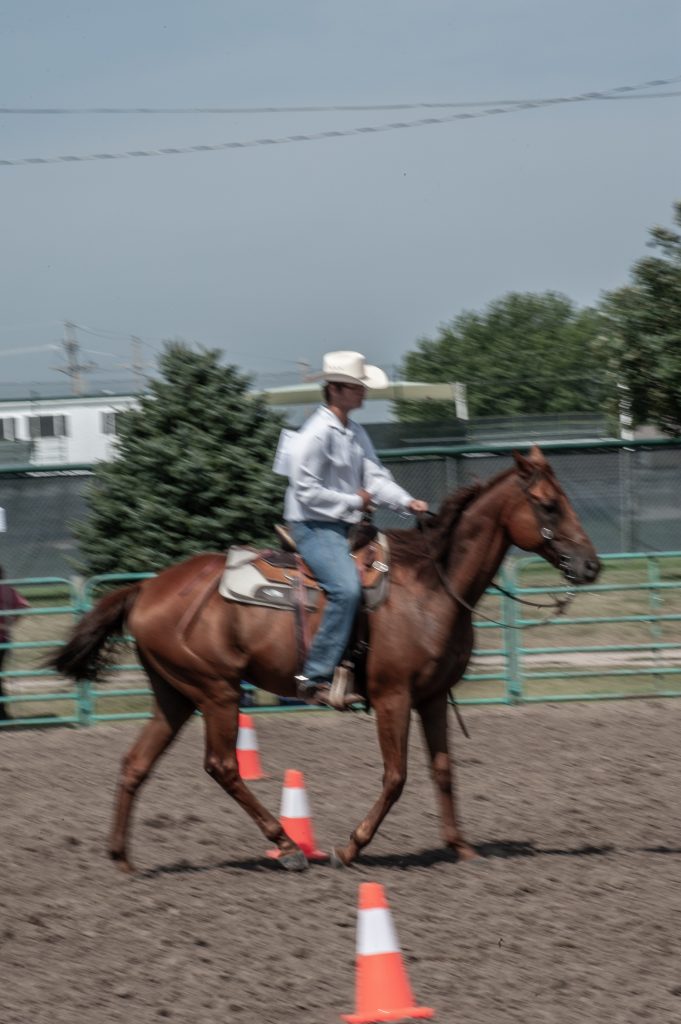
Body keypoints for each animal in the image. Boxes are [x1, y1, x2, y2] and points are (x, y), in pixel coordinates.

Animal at [51, 445, 600, 872]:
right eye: (548, 506)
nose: (591, 565)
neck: (430, 588)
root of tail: (145, 590)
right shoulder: (393, 697)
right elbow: (396, 776)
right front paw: (350, 848)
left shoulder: (432, 697)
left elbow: (443, 769)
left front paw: (461, 848)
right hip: (217, 692)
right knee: (223, 766)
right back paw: (289, 846)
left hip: (175, 695)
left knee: (135, 764)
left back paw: (123, 858)